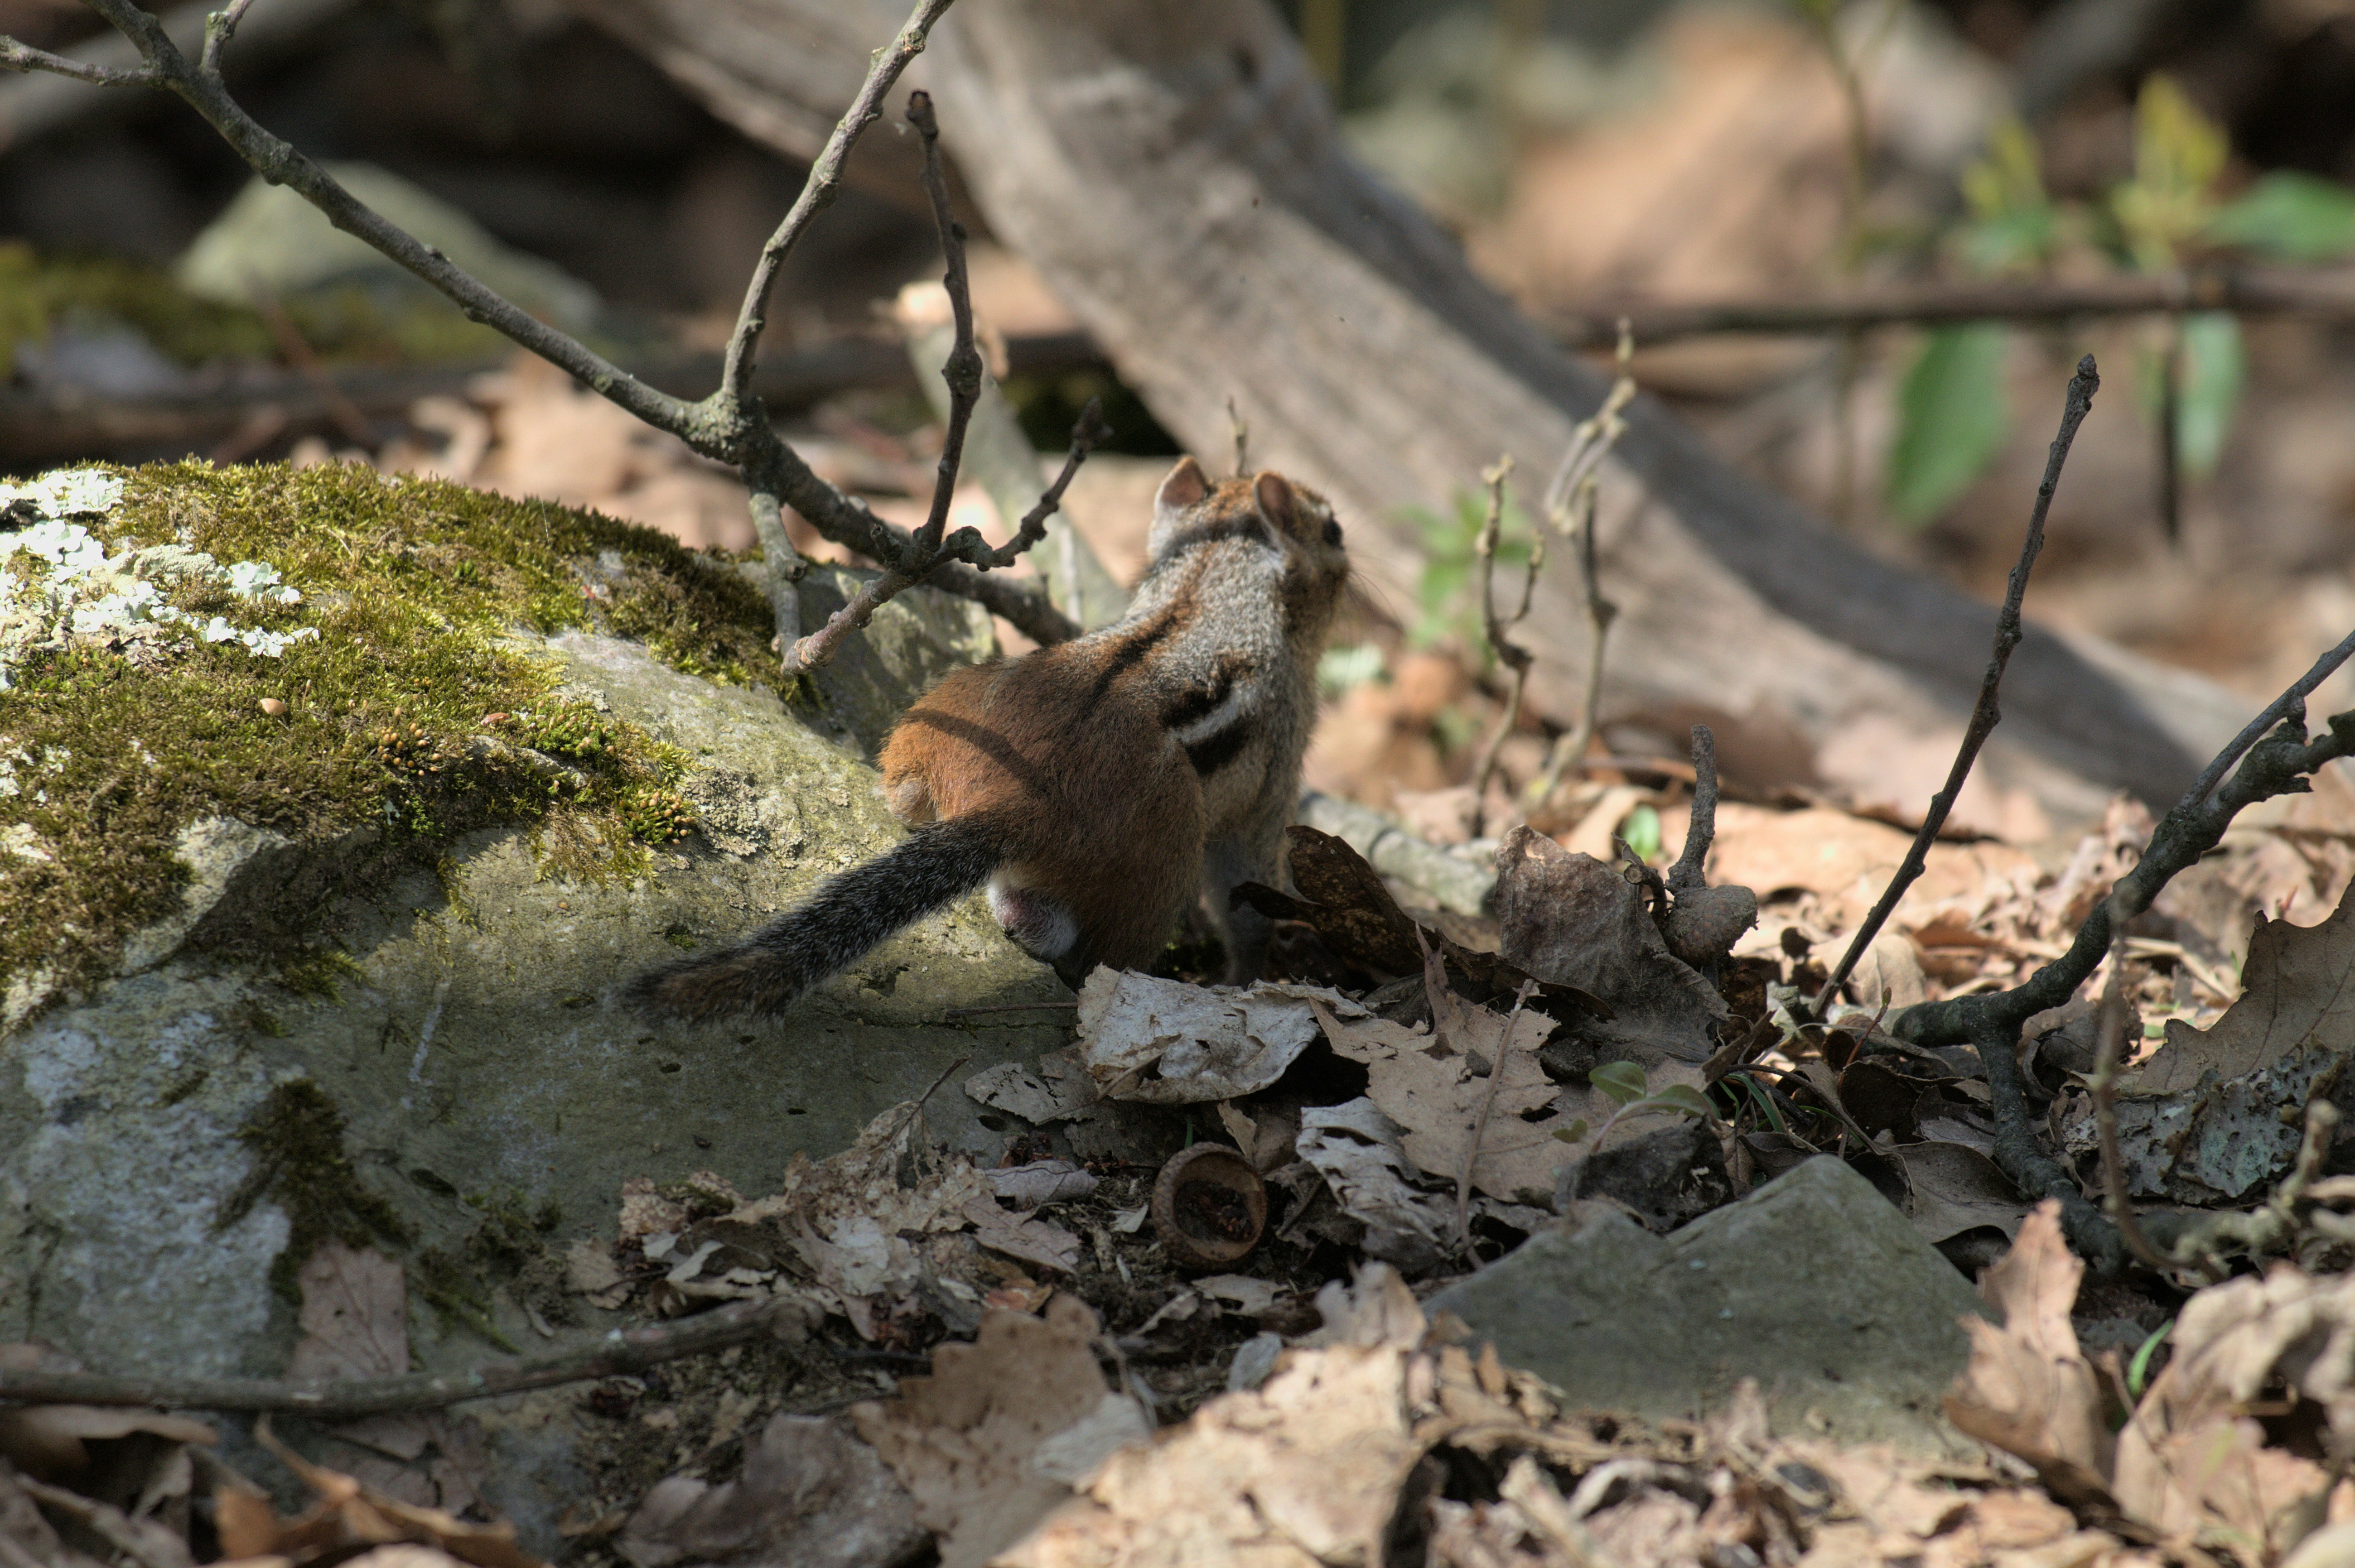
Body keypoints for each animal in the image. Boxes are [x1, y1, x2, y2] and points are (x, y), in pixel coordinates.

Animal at [624, 454, 1351, 1023]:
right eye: (1335, 528)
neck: (1210, 589)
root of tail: (1016, 799)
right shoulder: (1275, 780)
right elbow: (1248, 889)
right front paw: (1250, 970)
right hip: (1156, 879)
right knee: (1091, 951)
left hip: (940, 715)